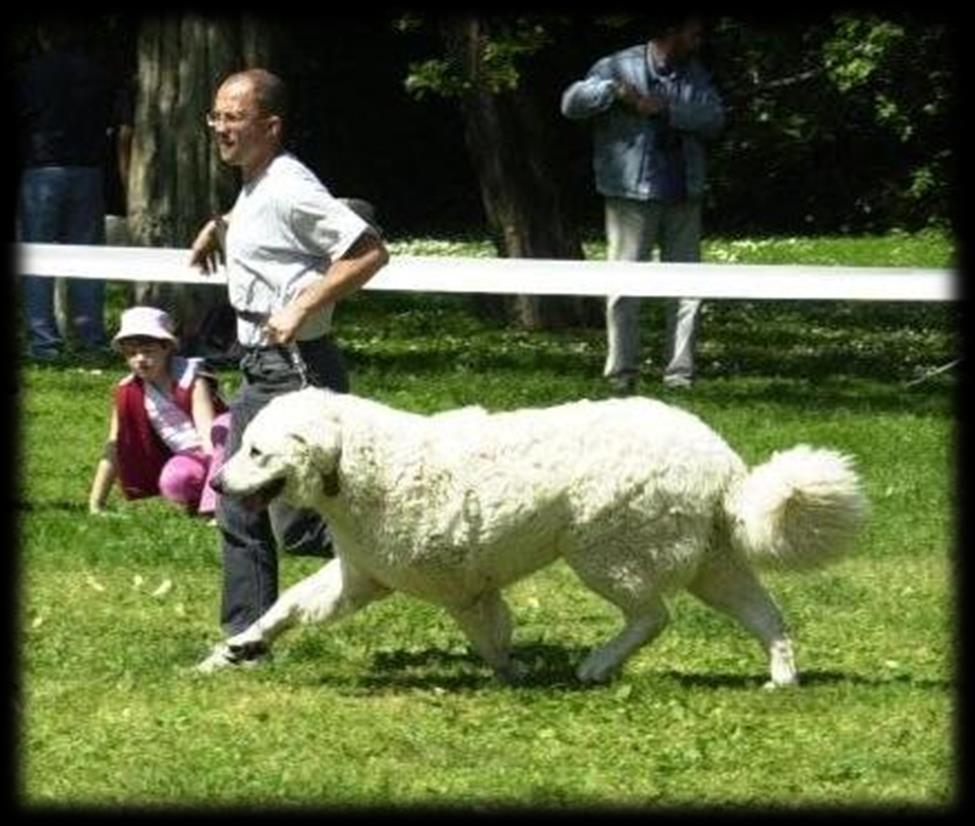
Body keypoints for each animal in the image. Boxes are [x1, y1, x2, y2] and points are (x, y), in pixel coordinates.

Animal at [200, 390, 868, 684]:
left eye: (255, 452)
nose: (217, 481)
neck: (359, 462)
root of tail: (725, 463)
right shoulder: (359, 577)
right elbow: (284, 609)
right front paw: (237, 648)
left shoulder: (461, 590)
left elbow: (492, 637)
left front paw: (512, 676)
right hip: (713, 566)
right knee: (769, 617)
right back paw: (781, 677)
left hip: (604, 553)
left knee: (653, 616)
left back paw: (596, 666)